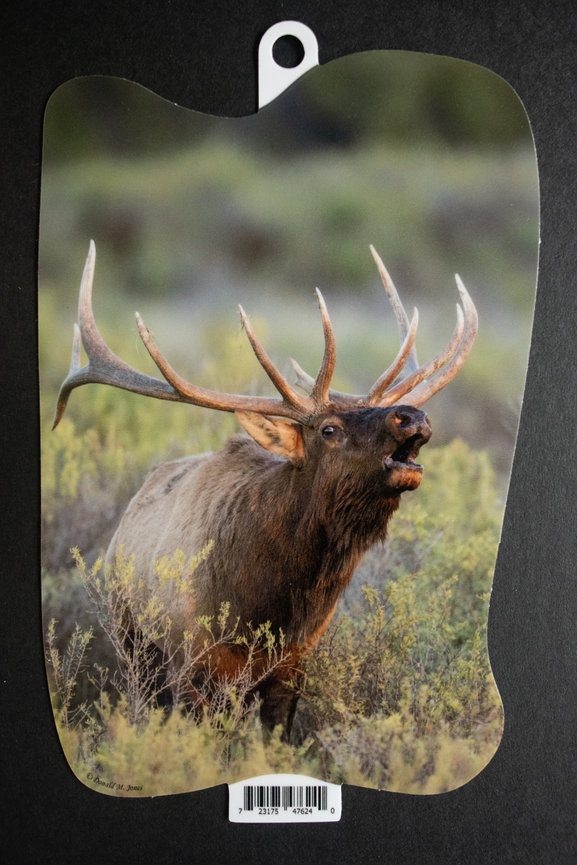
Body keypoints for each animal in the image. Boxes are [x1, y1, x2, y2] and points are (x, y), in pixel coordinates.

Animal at [52, 240, 477, 739]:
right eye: (329, 429)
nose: (411, 416)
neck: (265, 606)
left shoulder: (292, 669)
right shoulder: (191, 668)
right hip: (132, 644)